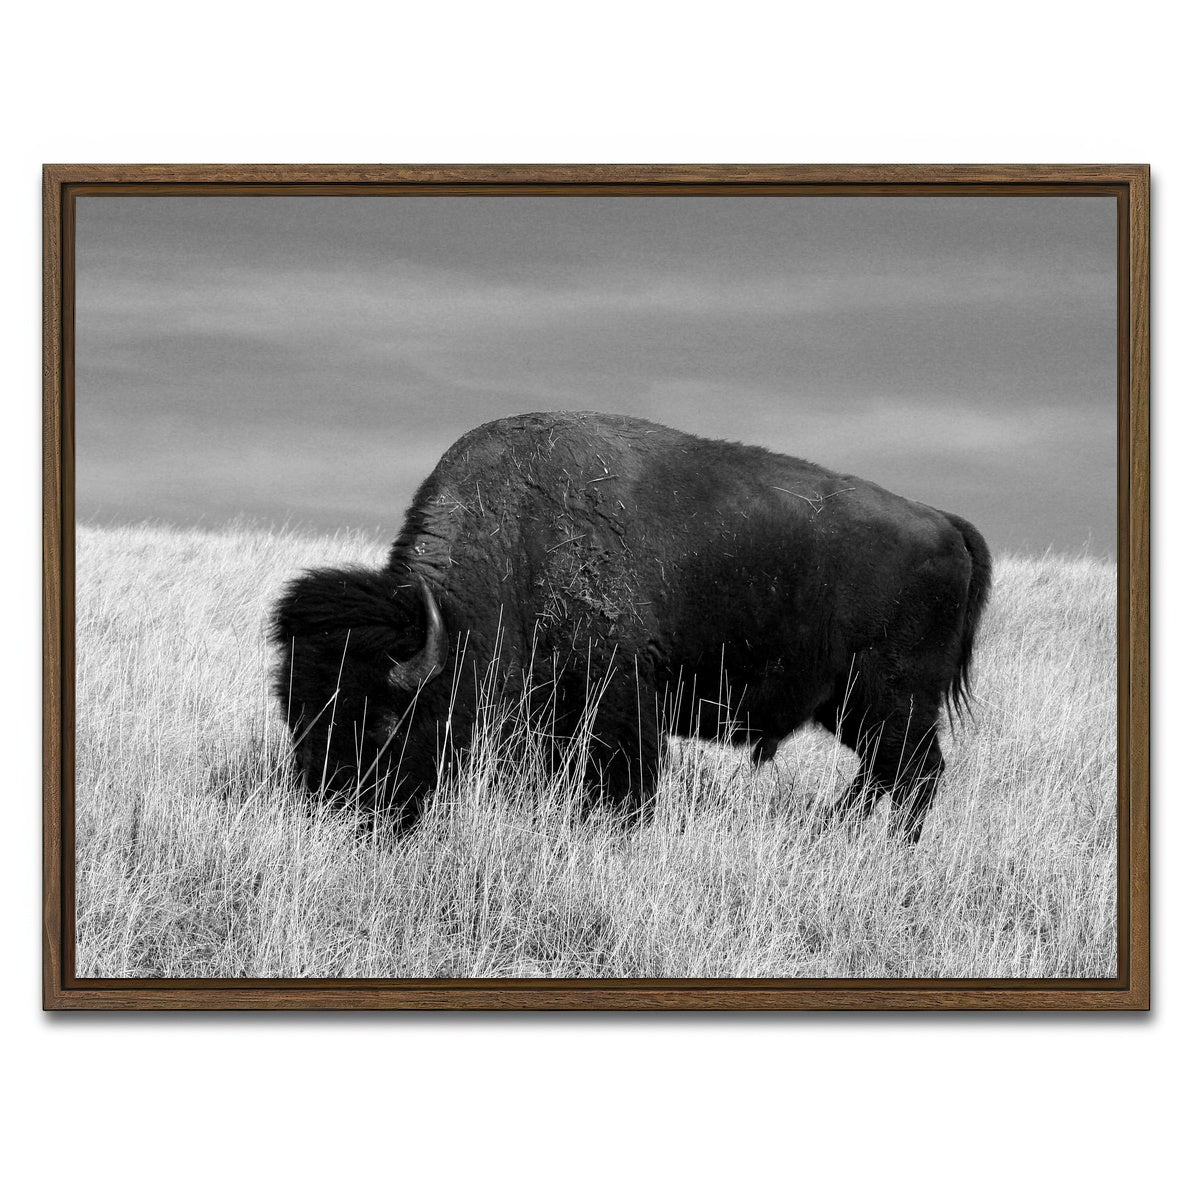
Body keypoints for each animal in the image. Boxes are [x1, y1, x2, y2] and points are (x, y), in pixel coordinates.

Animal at [272, 411, 990, 841]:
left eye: (384, 719)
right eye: (296, 713)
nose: (332, 809)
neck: (516, 543)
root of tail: (943, 522)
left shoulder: (618, 696)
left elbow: (627, 779)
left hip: (892, 700)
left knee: (914, 774)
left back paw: (887, 844)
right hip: (851, 707)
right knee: (884, 772)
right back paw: (837, 831)